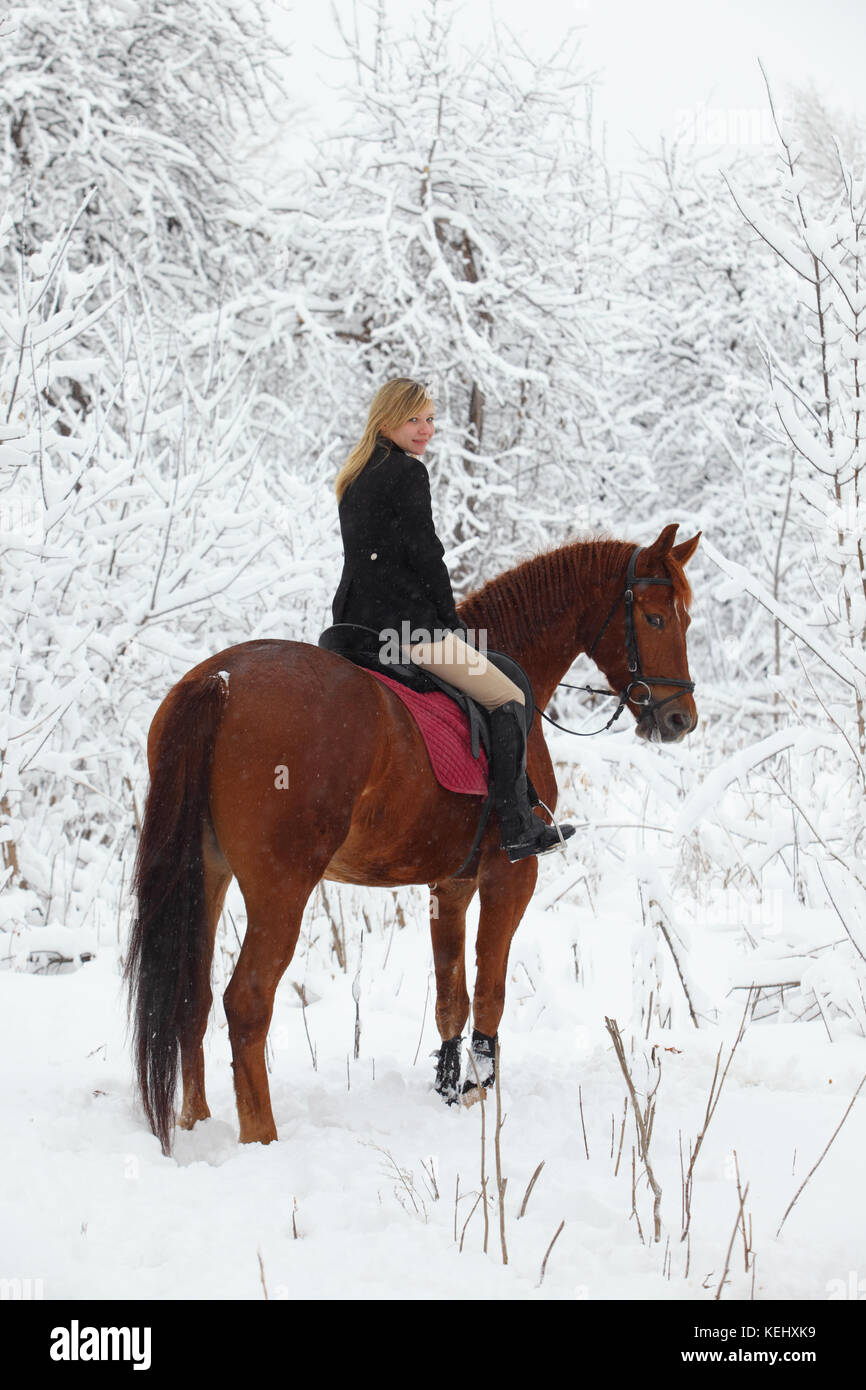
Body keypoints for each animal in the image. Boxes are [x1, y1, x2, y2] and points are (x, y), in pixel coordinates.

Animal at [125, 522, 700, 1150]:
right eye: (655, 618)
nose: (681, 721)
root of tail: (221, 680)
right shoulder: (510, 875)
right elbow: (489, 990)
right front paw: (481, 1089)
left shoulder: (449, 886)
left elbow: (451, 998)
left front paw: (449, 1090)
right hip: (281, 887)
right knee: (247, 1000)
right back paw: (262, 1138)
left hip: (207, 872)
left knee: (192, 993)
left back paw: (196, 1122)